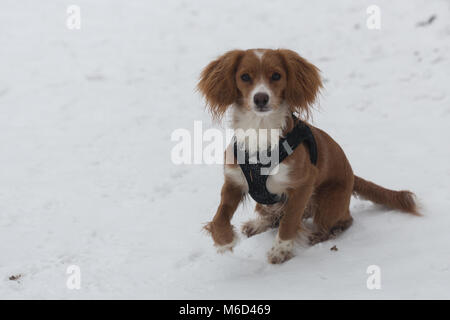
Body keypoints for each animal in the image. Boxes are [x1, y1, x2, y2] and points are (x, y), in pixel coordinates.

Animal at [198, 48, 418, 264]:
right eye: (244, 77)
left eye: (276, 75)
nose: (261, 98)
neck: (261, 131)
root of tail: (353, 176)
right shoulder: (233, 182)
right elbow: (220, 215)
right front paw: (223, 240)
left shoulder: (303, 184)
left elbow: (290, 221)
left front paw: (281, 251)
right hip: (267, 203)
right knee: (275, 215)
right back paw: (257, 225)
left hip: (328, 203)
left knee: (341, 221)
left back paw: (320, 235)